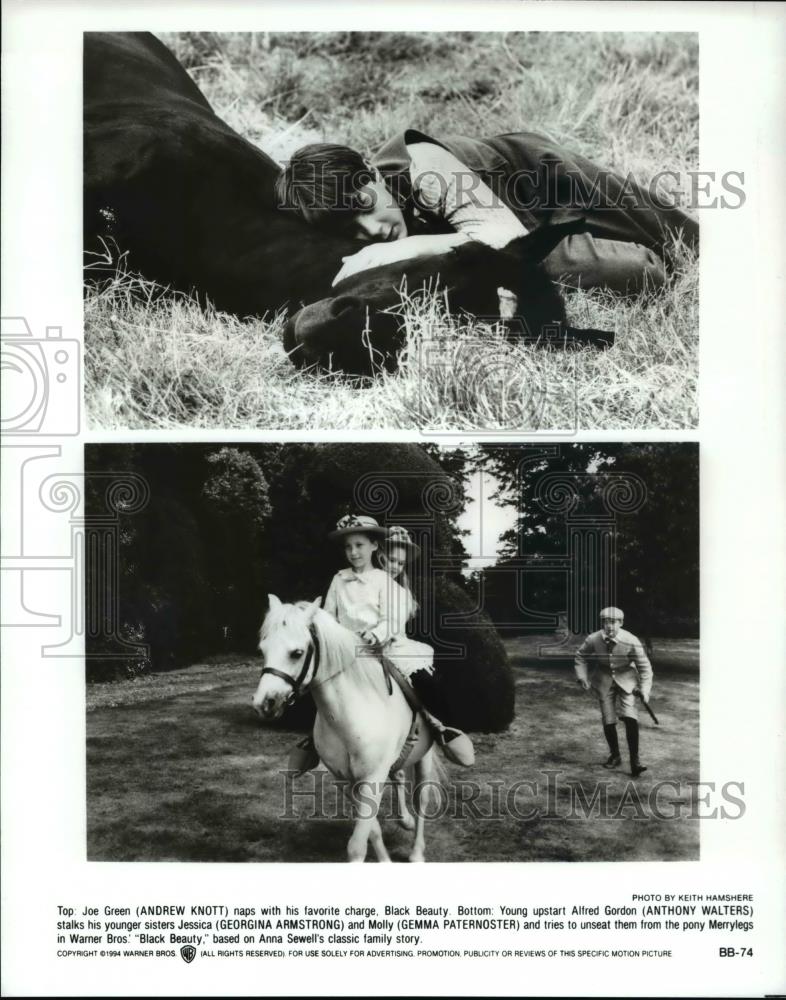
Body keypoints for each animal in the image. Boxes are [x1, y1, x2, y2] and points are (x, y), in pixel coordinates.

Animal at [253, 596, 438, 864]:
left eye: (297, 653)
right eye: (263, 649)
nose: (263, 704)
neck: (348, 717)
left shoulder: (372, 778)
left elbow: (357, 845)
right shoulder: (345, 780)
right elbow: (372, 830)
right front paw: (385, 860)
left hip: (425, 755)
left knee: (421, 798)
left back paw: (417, 852)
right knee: (400, 775)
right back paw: (405, 820)